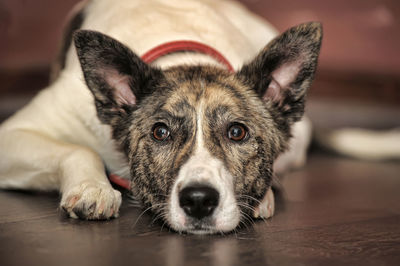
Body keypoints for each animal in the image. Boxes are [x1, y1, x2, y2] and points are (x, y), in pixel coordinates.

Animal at [0, 0, 322, 233]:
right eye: (160, 132)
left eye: (237, 132)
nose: (199, 201)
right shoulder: (14, 134)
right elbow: (80, 150)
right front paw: (93, 188)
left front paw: (262, 196)